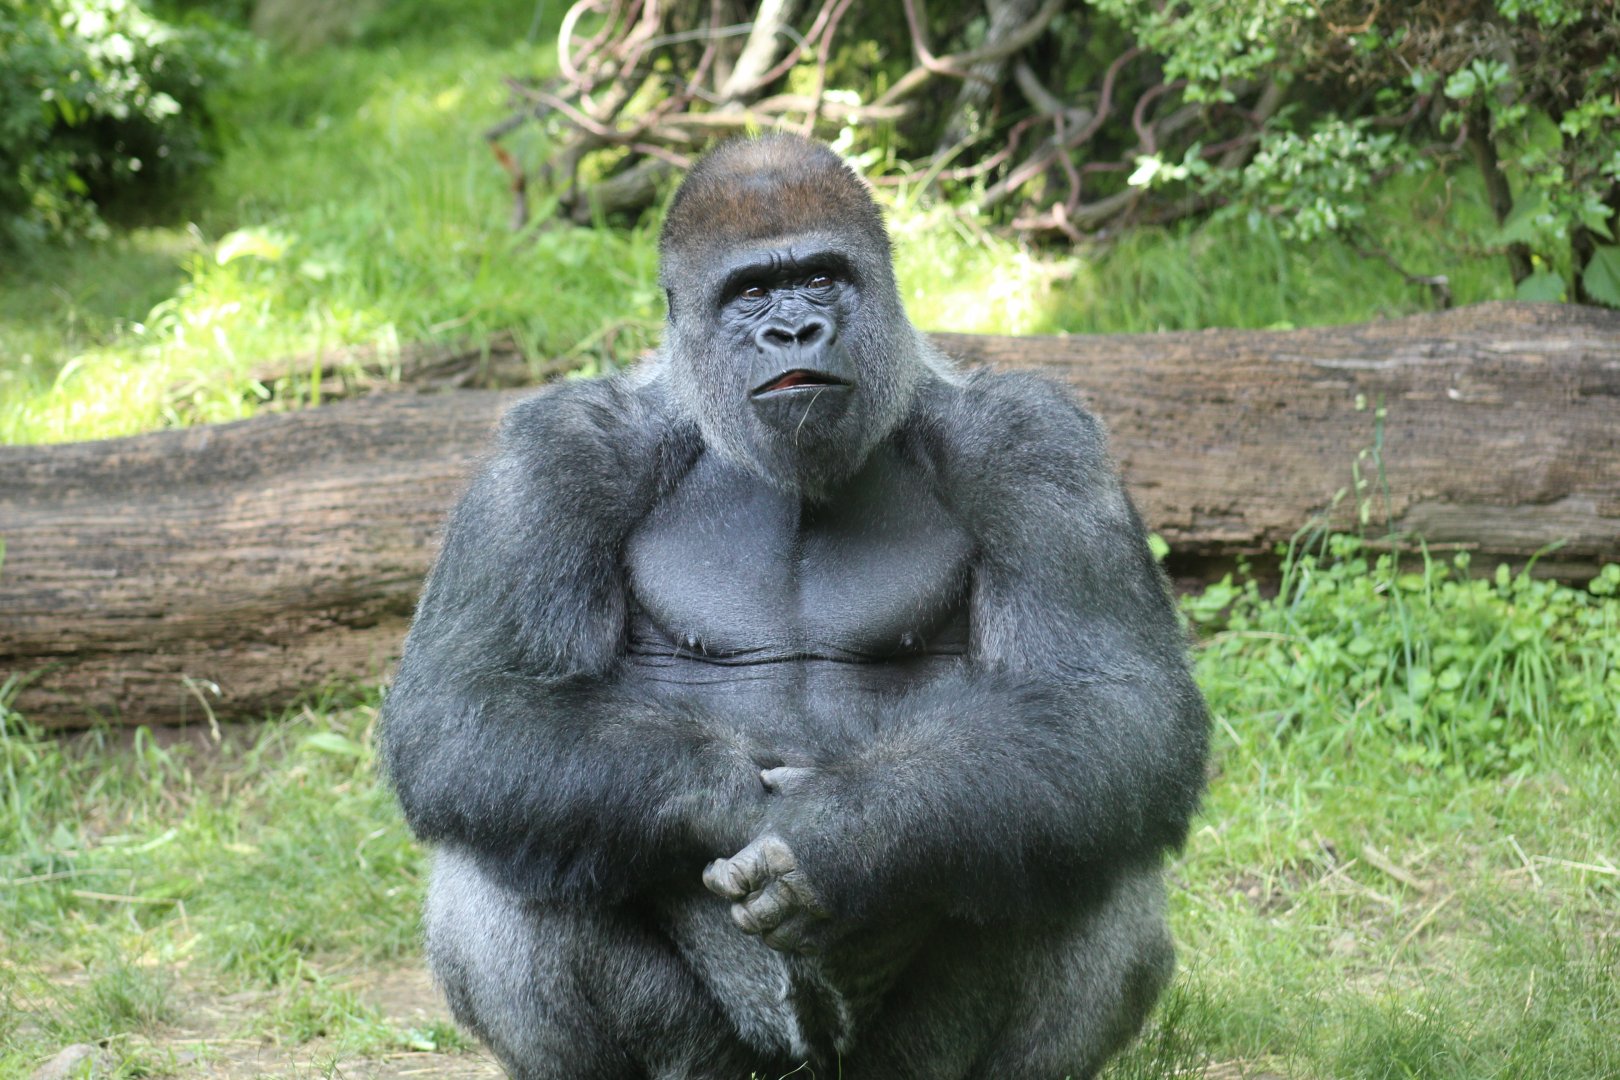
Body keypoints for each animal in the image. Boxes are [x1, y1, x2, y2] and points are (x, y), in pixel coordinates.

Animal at [381, 133, 1209, 1080]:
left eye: (820, 278)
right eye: (749, 293)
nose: (794, 331)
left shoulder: (1035, 441)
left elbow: (1112, 702)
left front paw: (836, 835)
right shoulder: (553, 454)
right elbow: (474, 704)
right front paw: (734, 801)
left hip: (901, 1062)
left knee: (1094, 832)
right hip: (730, 1060)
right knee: (507, 847)